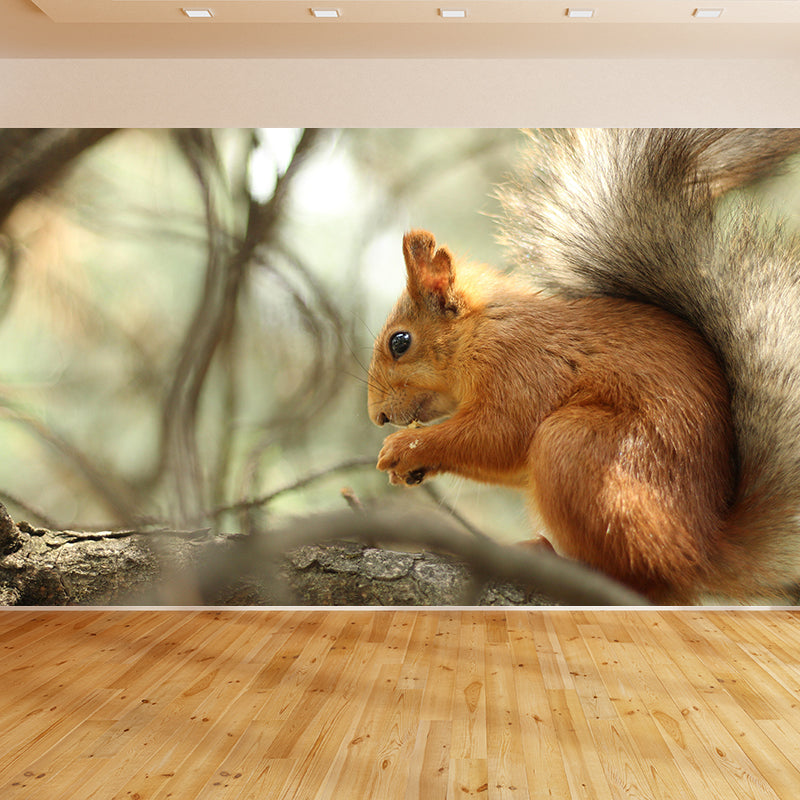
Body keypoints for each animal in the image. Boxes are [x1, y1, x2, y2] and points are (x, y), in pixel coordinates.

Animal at [366, 129, 800, 605]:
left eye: (400, 342)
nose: (377, 416)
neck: (480, 330)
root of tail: (700, 551)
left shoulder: (521, 366)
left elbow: (499, 434)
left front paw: (406, 447)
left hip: (578, 447)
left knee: (634, 576)